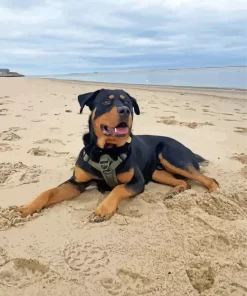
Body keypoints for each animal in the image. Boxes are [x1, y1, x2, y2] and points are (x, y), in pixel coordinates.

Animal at [15, 89, 218, 221]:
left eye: (127, 102)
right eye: (106, 101)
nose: (125, 111)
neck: (106, 151)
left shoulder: (137, 181)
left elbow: (117, 188)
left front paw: (103, 209)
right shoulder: (77, 183)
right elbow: (47, 192)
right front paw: (27, 208)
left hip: (171, 155)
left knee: (209, 180)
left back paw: (213, 196)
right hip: (157, 172)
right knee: (184, 182)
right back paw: (174, 191)